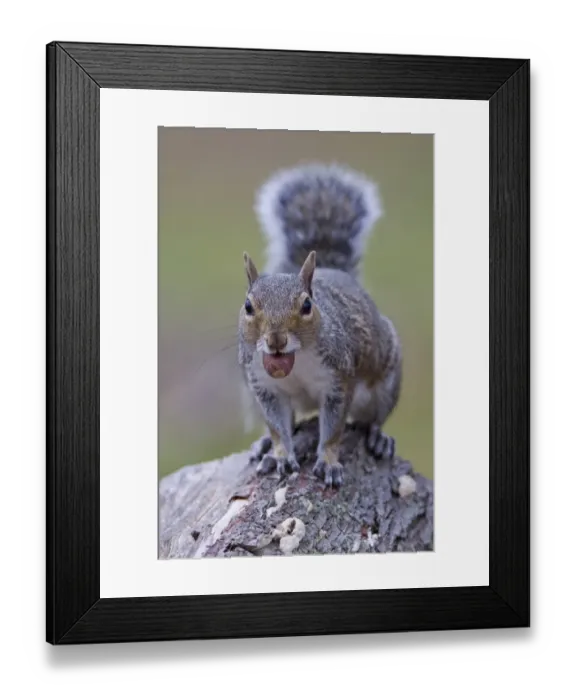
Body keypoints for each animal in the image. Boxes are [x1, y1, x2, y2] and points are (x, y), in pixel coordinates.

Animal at [237, 162, 402, 489]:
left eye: (306, 306)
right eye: (248, 306)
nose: (276, 340)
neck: (296, 361)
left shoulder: (338, 382)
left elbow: (334, 430)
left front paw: (327, 462)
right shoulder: (265, 388)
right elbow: (278, 428)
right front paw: (280, 455)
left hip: (385, 379)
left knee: (374, 417)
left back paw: (379, 437)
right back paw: (263, 445)